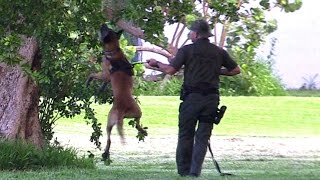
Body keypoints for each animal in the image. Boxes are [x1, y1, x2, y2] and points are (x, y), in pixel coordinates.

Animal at [87, 23, 148, 160]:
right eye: (108, 29)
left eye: (104, 30)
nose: (103, 24)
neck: (114, 51)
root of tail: (121, 111)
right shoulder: (107, 77)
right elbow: (104, 83)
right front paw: (101, 88)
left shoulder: (104, 74)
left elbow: (94, 74)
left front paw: (89, 80)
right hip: (135, 113)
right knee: (136, 124)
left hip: (111, 121)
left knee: (109, 139)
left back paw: (105, 153)